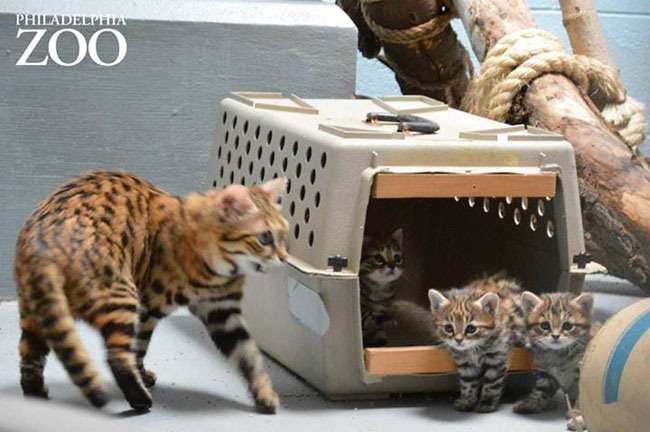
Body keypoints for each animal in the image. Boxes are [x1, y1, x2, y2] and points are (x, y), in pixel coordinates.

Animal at [13, 170, 288, 414]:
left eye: (285, 234)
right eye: (264, 238)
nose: (285, 258)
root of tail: (45, 246)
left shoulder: (222, 312)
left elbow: (249, 355)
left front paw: (264, 393)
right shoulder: (150, 305)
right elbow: (139, 349)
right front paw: (142, 375)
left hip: (39, 309)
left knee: (30, 356)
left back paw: (36, 393)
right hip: (121, 296)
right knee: (116, 356)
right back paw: (140, 400)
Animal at [428, 274, 524, 412]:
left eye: (471, 328)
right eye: (449, 328)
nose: (458, 340)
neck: (474, 348)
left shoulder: (498, 357)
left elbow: (492, 383)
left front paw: (487, 402)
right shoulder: (465, 363)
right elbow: (468, 382)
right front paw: (467, 400)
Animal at [512, 290, 592, 426]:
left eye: (567, 326)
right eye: (545, 325)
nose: (555, 336)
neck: (557, 354)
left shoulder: (582, 372)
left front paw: (578, 416)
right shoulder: (546, 375)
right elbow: (540, 391)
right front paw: (530, 403)